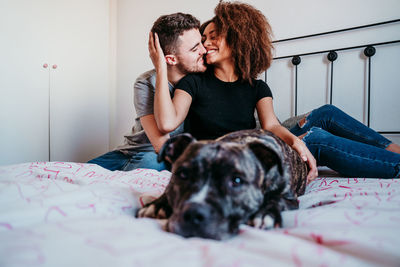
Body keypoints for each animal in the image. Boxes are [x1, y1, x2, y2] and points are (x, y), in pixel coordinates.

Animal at [136, 130, 308, 241]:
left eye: (237, 181)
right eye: (183, 174)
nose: (194, 213)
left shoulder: (291, 200)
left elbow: (276, 199)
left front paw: (266, 213)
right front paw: (157, 205)